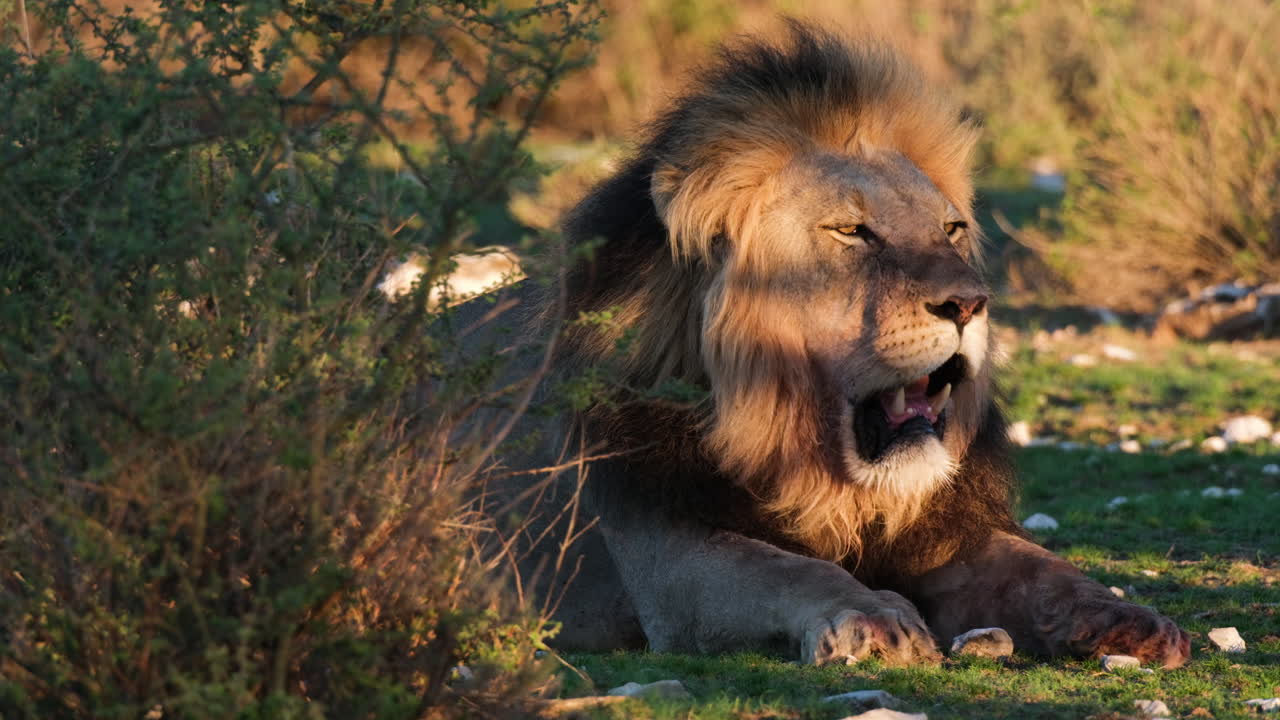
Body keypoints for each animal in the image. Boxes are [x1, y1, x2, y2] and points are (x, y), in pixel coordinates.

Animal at [478, 23, 1189, 668]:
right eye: (852, 231)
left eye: (952, 230)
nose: (969, 303)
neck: (818, 473)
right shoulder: (662, 548)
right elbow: (785, 569)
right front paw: (878, 619)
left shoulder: (939, 536)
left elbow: (1042, 568)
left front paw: (1127, 618)